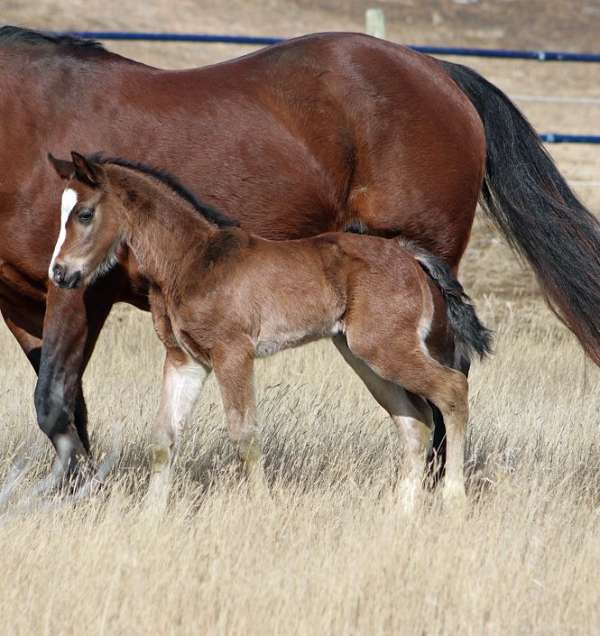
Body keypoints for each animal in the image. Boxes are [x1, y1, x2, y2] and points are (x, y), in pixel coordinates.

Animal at [1, 24, 600, 472]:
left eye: (83, 215)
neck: (26, 124)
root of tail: (438, 72)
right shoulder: (26, 303)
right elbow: (69, 409)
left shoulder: (77, 290)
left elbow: (54, 405)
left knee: (447, 382)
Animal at [45, 152, 488, 510]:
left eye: (84, 214)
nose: (60, 273)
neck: (192, 260)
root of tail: (409, 256)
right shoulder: (184, 359)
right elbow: (163, 437)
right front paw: (151, 518)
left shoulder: (232, 352)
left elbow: (245, 435)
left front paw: (261, 507)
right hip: (364, 358)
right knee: (415, 421)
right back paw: (403, 512)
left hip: (384, 349)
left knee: (451, 390)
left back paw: (454, 500)